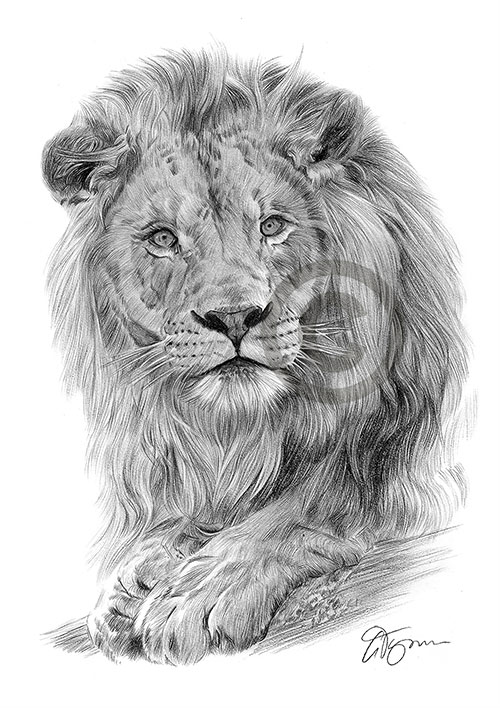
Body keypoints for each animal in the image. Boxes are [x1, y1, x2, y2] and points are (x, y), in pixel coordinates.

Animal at [42, 48, 468, 664]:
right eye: (163, 239)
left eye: (273, 226)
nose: (235, 317)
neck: (248, 428)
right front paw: (130, 579)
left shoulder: (407, 472)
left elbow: (306, 506)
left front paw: (198, 591)